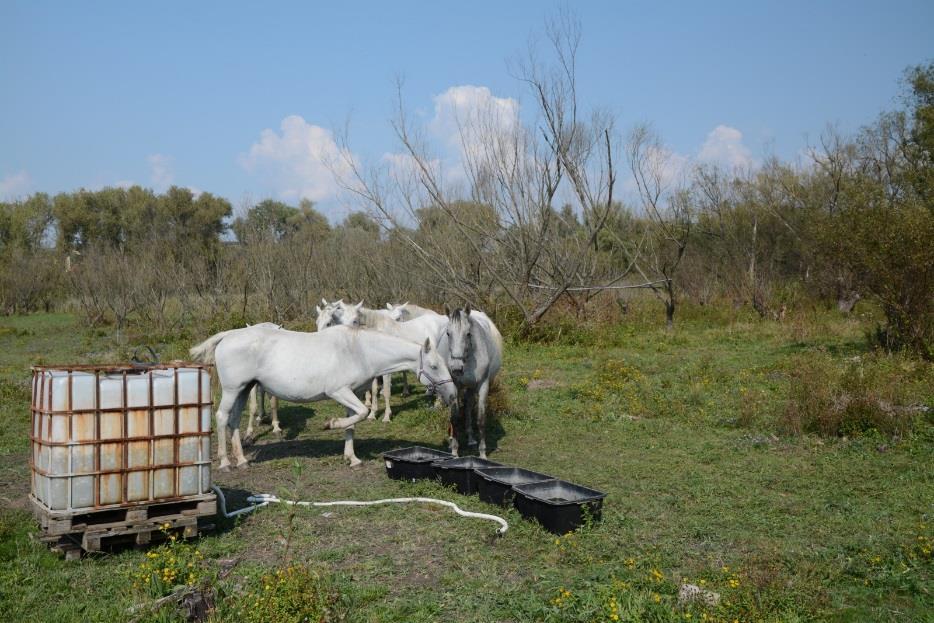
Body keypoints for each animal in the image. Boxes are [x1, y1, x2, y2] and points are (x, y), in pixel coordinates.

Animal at [190, 326, 458, 468]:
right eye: (434, 366)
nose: (452, 394)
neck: (359, 351)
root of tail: (227, 336)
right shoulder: (339, 392)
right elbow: (361, 414)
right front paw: (330, 424)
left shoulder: (352, 394)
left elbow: (353, 424)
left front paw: (352, 458)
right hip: (233, 389)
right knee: (222, 417)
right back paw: (226, 463)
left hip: (245, 389)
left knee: (234, 420)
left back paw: (242, 459)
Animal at [440, 306, 504, 458]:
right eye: (448, 333)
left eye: (468, 334)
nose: (456, 368)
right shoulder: (455, 385)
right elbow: (454, 417)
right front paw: (454, 451)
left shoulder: (483, 385)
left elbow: (480, 419)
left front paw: (482, 453)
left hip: (470, 387)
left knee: (469, 406)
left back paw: (470, 438)